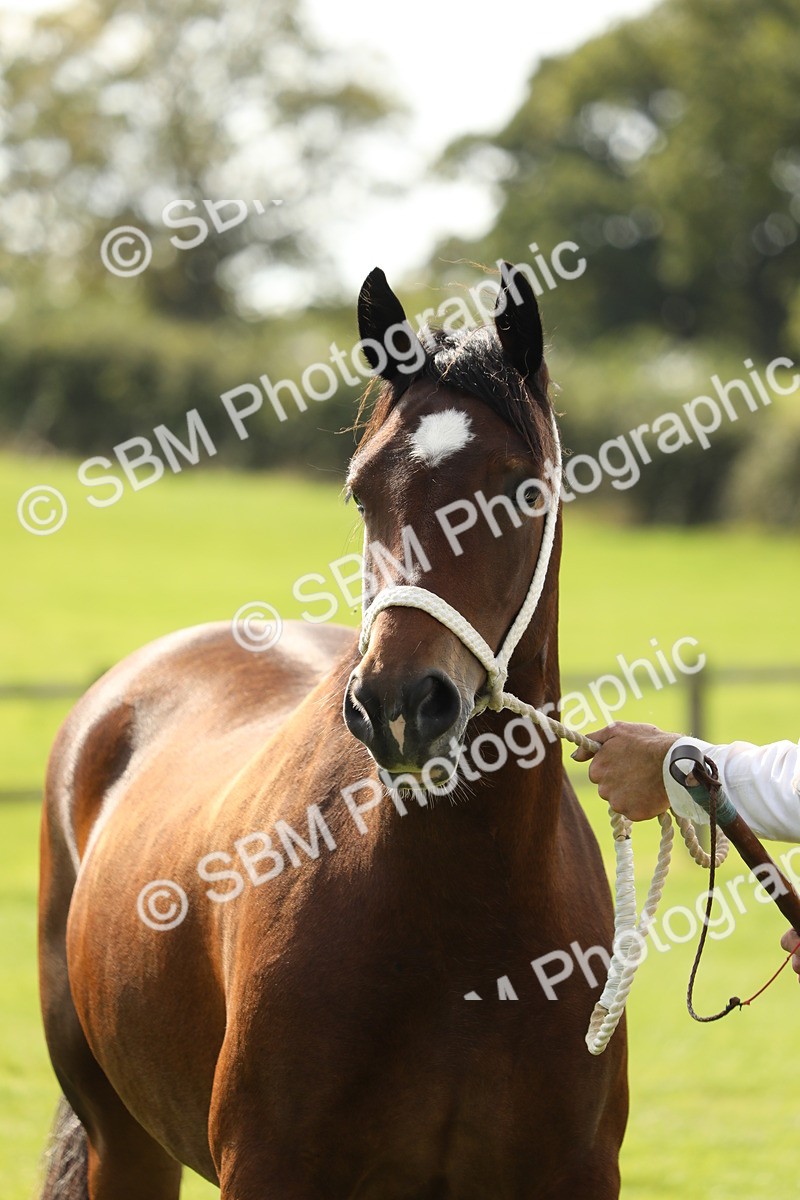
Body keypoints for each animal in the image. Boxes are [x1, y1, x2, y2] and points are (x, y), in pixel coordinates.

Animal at [38, 263, 628, 1199]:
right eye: (361, 490)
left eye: (521, 486)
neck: (464, 931)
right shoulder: (268, 1168)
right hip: (121, 1143)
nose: (399, 702)